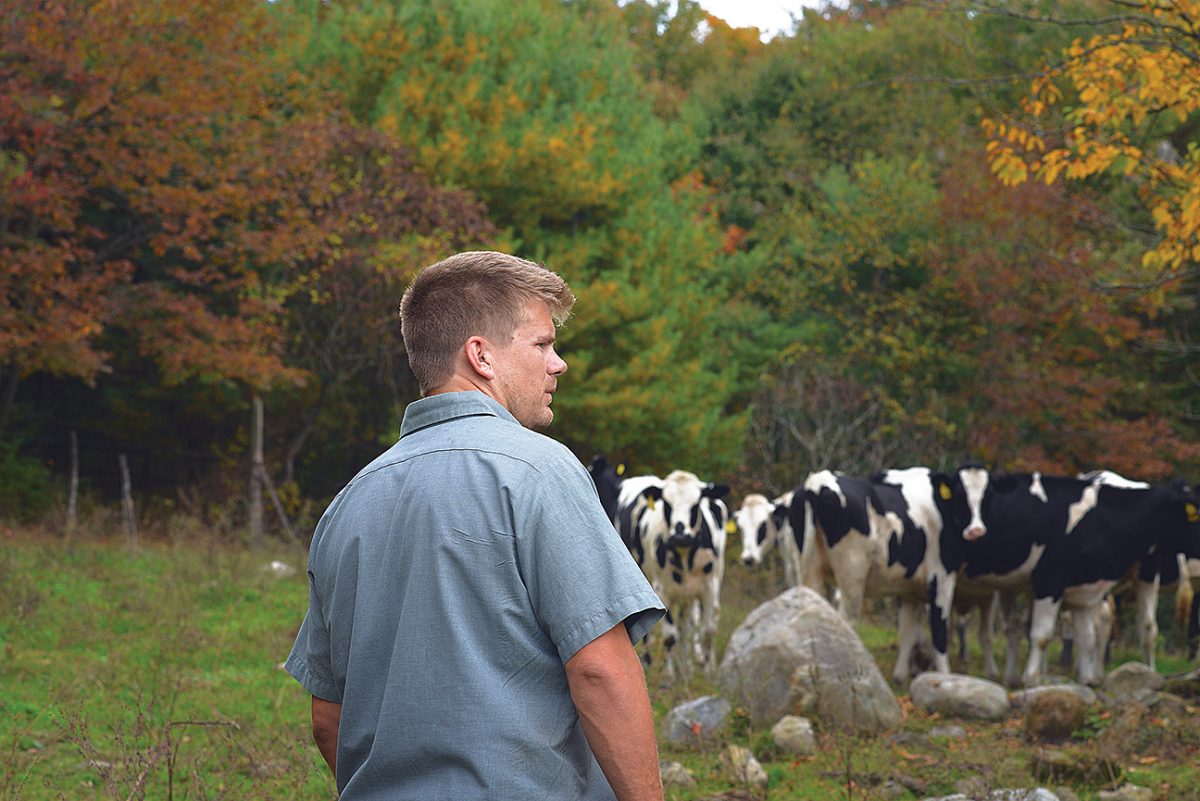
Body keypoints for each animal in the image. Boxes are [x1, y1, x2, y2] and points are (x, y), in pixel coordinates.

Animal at [609, 465, 729, 681]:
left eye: (696, 503)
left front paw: (705, 674)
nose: (680, 535)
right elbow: (669, 636)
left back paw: (687, 667)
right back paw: (650, 662)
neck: (685, 556)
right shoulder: (663, 590)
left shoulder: (709, 587)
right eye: (666, 503)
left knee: (688, 627)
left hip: (689, 595)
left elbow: (706, 631)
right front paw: (669, 676)